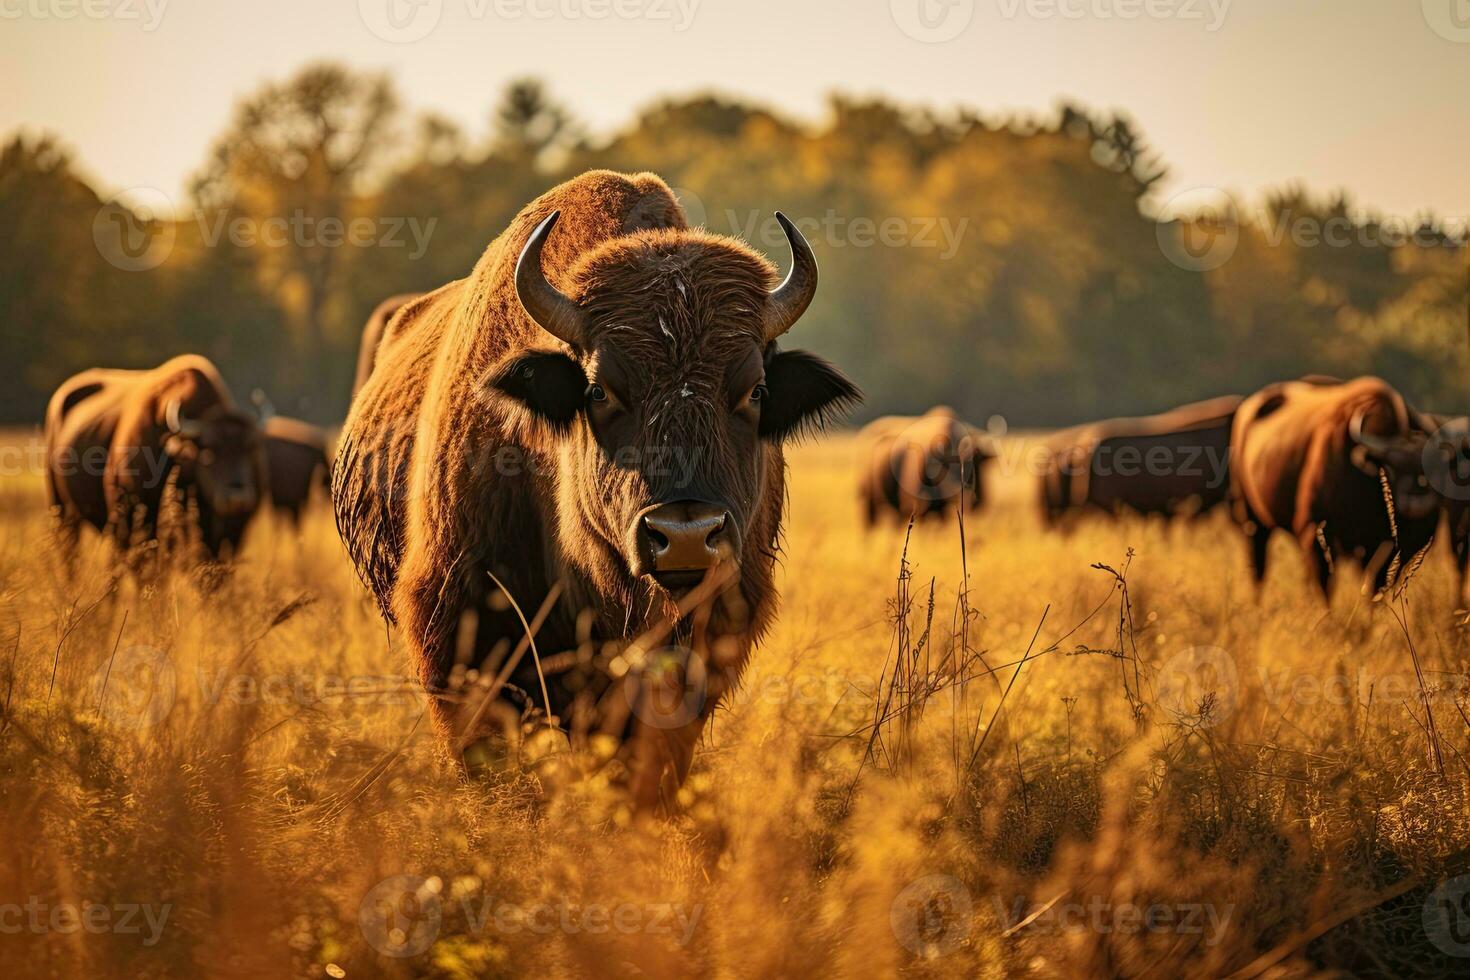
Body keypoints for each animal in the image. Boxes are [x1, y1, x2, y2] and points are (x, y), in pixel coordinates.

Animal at [1228, 376, 1434, 593]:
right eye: (1388, 468)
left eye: (1428, 469)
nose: (1416, 501)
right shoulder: (1313, 531)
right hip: (1252, 521)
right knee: (1259, 568)